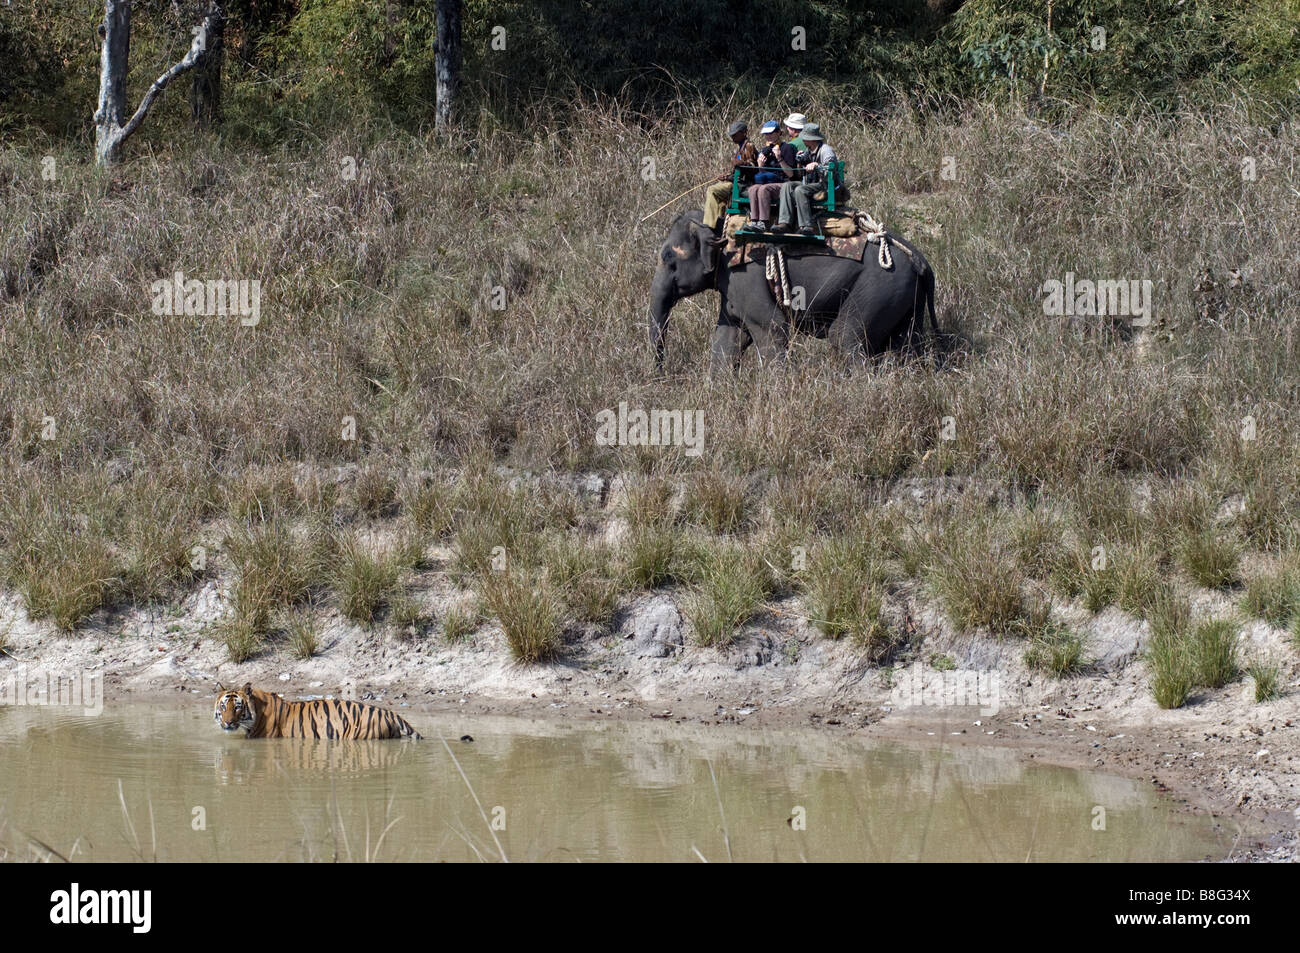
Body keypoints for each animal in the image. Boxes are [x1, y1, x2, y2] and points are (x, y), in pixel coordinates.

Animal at [649, 209, 938, 371]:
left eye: (668, 259)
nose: (661, 373)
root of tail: (920, 260)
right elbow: (727, 338)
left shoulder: (745, 276)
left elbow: (772, 328)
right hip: (903, 294)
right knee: (906, 344)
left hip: (880, 286)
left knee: (845, 336)